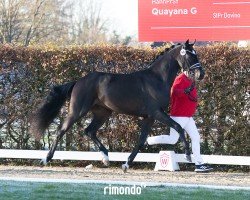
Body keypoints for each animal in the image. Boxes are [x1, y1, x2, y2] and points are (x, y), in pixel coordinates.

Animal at [29, 39, 205, 172]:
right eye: (190, 55)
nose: (201, 74)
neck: (157, 79)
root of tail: (79, 81)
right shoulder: (157, 113)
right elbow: (178, 127)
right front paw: (188, 155)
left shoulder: (149, 117)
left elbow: (141, 140)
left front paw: (126, 164)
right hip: (77, 111)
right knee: (61, 130)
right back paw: (45, 159)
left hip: (103, 113)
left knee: (89, 131)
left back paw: (106, 158)